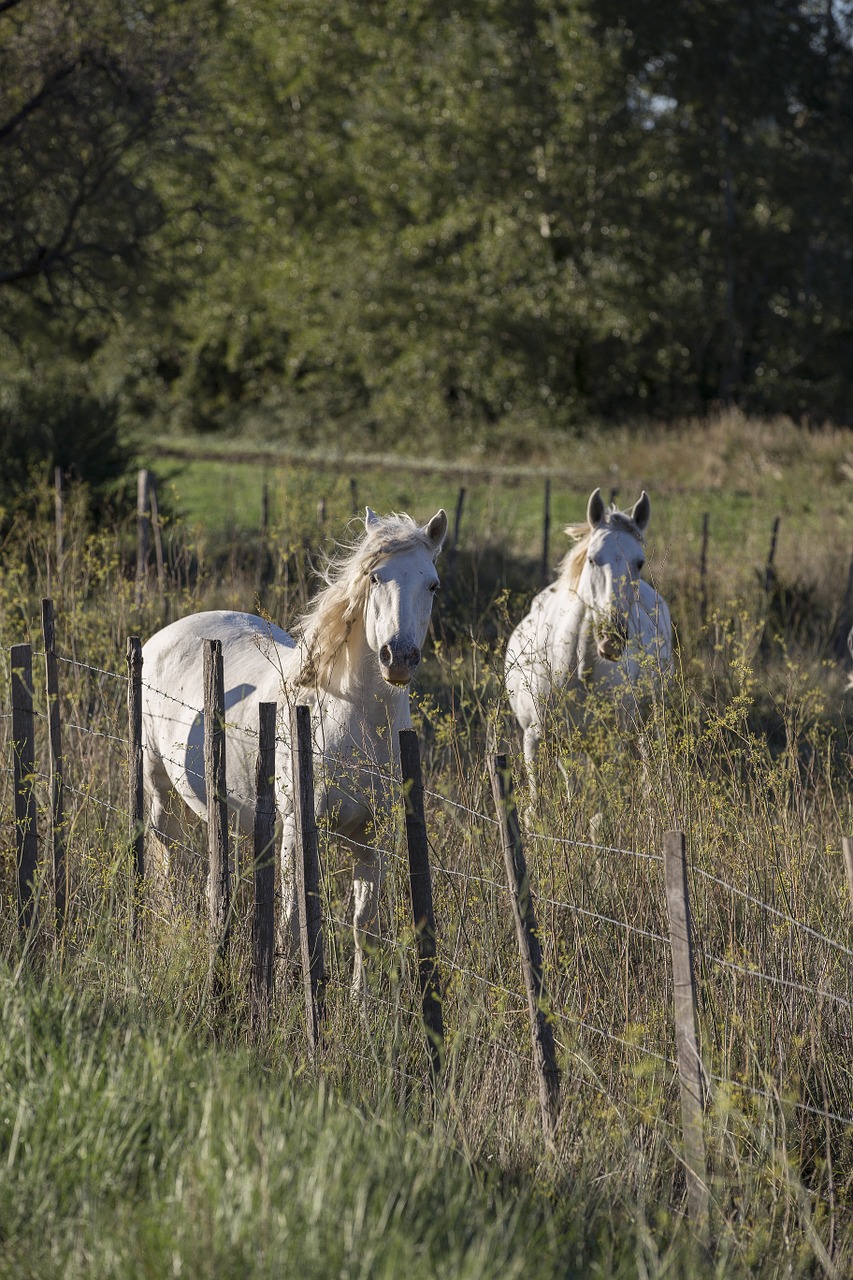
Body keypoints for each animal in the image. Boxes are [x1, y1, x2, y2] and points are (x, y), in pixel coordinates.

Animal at [139, 506, 445, 988]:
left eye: (432, 584)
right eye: (375, 577)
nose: (398, 657)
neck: (352, 721)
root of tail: (163, 635)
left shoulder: (373, 837)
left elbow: (364, 924)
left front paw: (359, 1001)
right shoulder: (301, 831)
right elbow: (293, 915)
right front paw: (283, 992)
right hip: (158, 785)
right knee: (165, 854)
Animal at [502, 488, 666, 798]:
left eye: (639, 562)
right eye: (592, 559)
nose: (611, 638)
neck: (576, 671)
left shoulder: (610, 745)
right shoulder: (535, 739)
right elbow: (538, 801)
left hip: (645, 724)